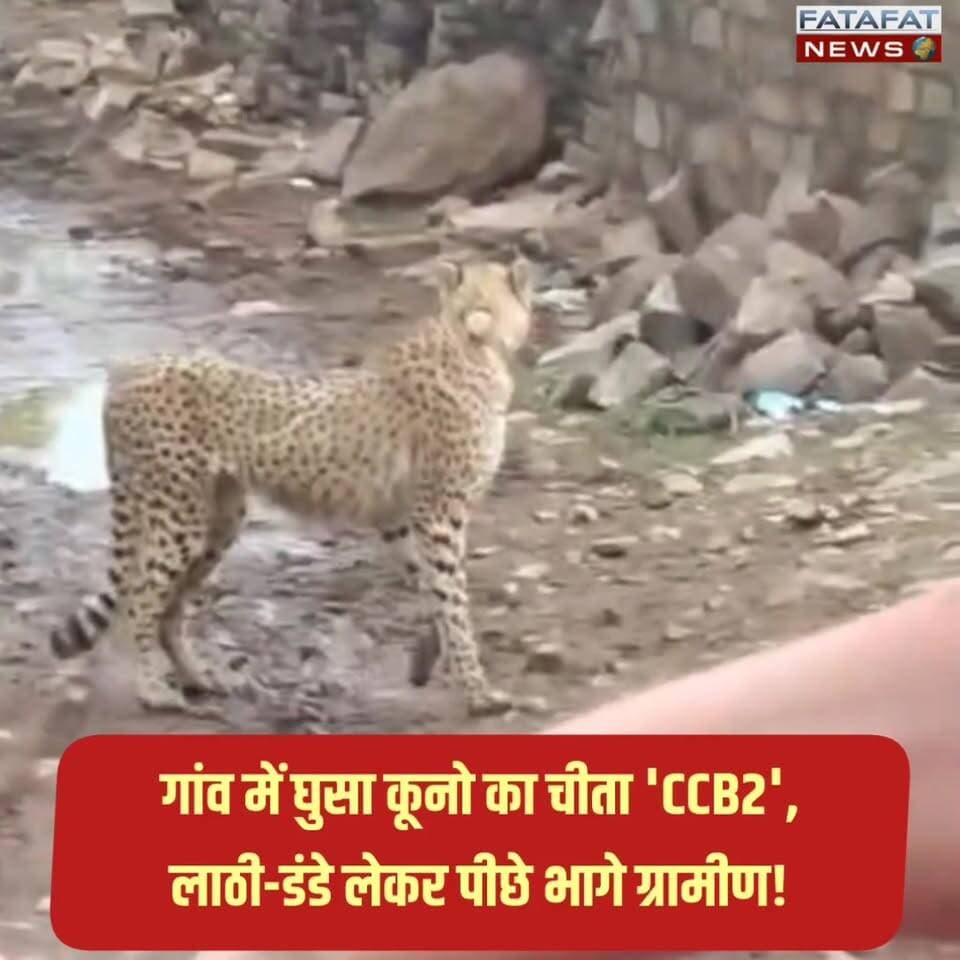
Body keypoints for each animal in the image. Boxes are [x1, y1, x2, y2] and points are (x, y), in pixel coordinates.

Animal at [48, 254, 535, 720]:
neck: (469, 335)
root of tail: (129, 370)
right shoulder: (439, 514)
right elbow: (454, 600)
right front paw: (478, 690)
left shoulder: (398, 516)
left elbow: (434, 591)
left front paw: (427, 658)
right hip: (178, 515)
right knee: (143, 596)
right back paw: (153, 689)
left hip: (218, 519)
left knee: (170, 607)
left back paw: (198, 677)